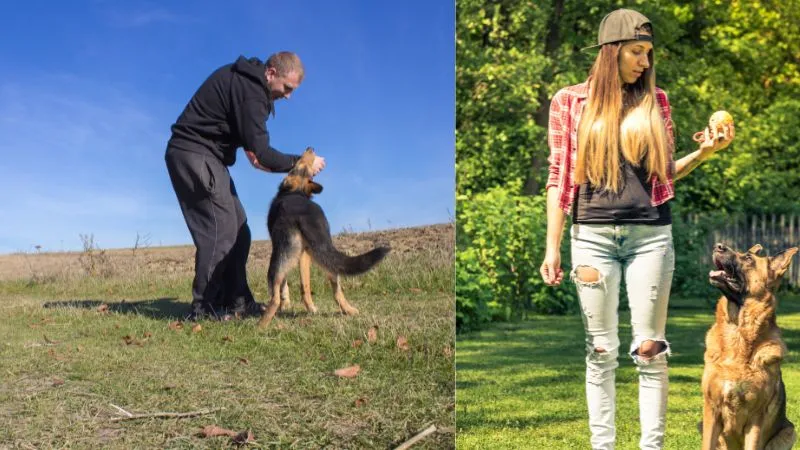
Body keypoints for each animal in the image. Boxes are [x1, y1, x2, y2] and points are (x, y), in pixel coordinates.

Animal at [256, 149, 390, 328]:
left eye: (298, 165)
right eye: (303, 166)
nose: (310, 148)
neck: (296, 191)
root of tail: (304, 213)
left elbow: (284, 286)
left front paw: (286, 304)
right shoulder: (305, 255)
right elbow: (305, 286)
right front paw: (310, 307)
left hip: (281, 257)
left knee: (275, 292)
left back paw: (262, 323)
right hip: (325, 252)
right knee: (337, 290)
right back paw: (348, 310)